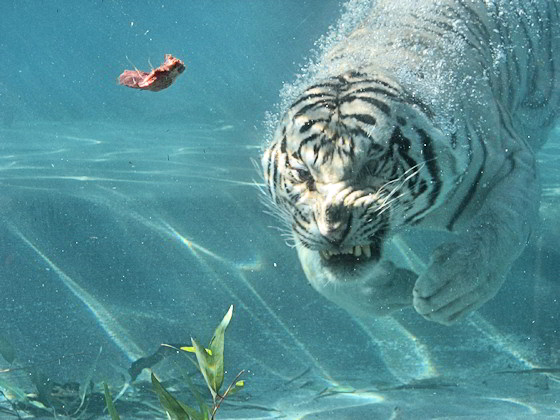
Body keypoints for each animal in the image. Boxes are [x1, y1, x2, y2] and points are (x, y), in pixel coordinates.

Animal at [262, 0, 560, 324]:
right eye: (303, 174)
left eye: (371, 164)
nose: (333, 232)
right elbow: (321, 275)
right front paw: (398, 286)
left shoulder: (511, 162)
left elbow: (501, 227)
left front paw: (452, 286)